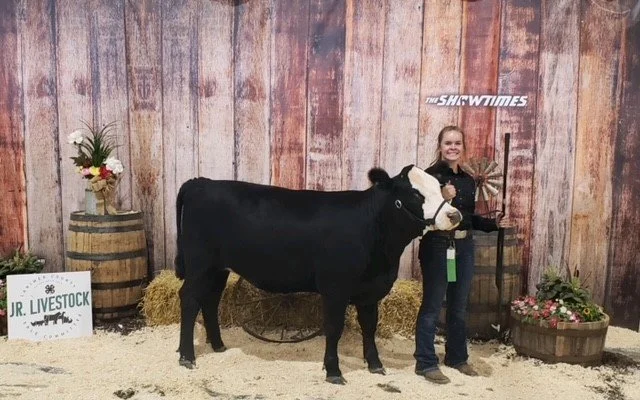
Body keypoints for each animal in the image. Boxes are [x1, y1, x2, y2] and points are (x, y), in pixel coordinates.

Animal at [175, 165, 461, 384]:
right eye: (415, 193)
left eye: (438, 187)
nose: (454, 214)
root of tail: (201, 182)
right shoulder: (335, 289)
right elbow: (334, 329)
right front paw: (333, 371)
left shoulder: (370, 291)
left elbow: (369, 327)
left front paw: (375, 365)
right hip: (199, 264)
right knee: (189, 299)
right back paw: (187, 357)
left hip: (217, 268)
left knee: (209, 301)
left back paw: (217, 345)